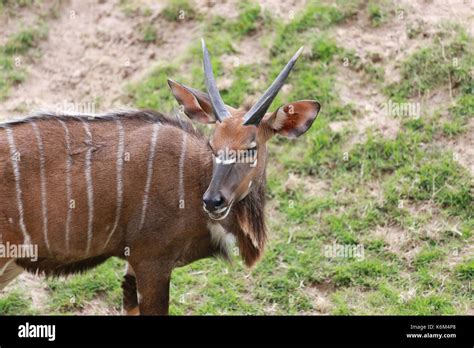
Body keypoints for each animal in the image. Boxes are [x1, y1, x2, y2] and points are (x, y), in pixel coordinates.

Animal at [0, 39, 320, 314]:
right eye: (213, 144)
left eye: (250, 148)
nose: (213, 201)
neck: (195, 177)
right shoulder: (151, 261)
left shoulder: (134, 263)